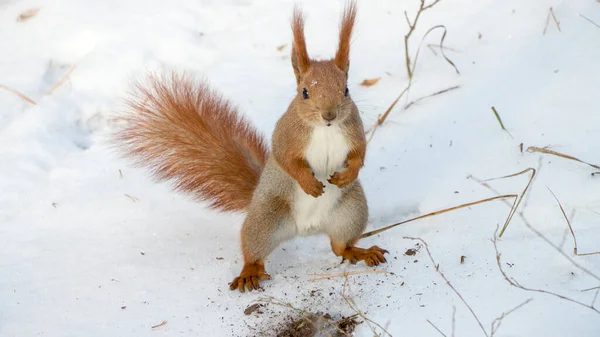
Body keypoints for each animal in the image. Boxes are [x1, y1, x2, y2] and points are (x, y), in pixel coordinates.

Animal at [114, 0, 390, 292]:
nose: (329, 115)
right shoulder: (286, 135)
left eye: (346, 90)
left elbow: (359, 153)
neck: (324, 130)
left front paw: (349, 173)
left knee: (340, 247)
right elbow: (286, 159)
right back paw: (249, 272)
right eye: (304, 92)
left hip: (350, 212)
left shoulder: (353, 131)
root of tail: (306, 229)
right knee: (254, 251)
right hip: (265, 220)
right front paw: (309, 183)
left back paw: (360, 251)